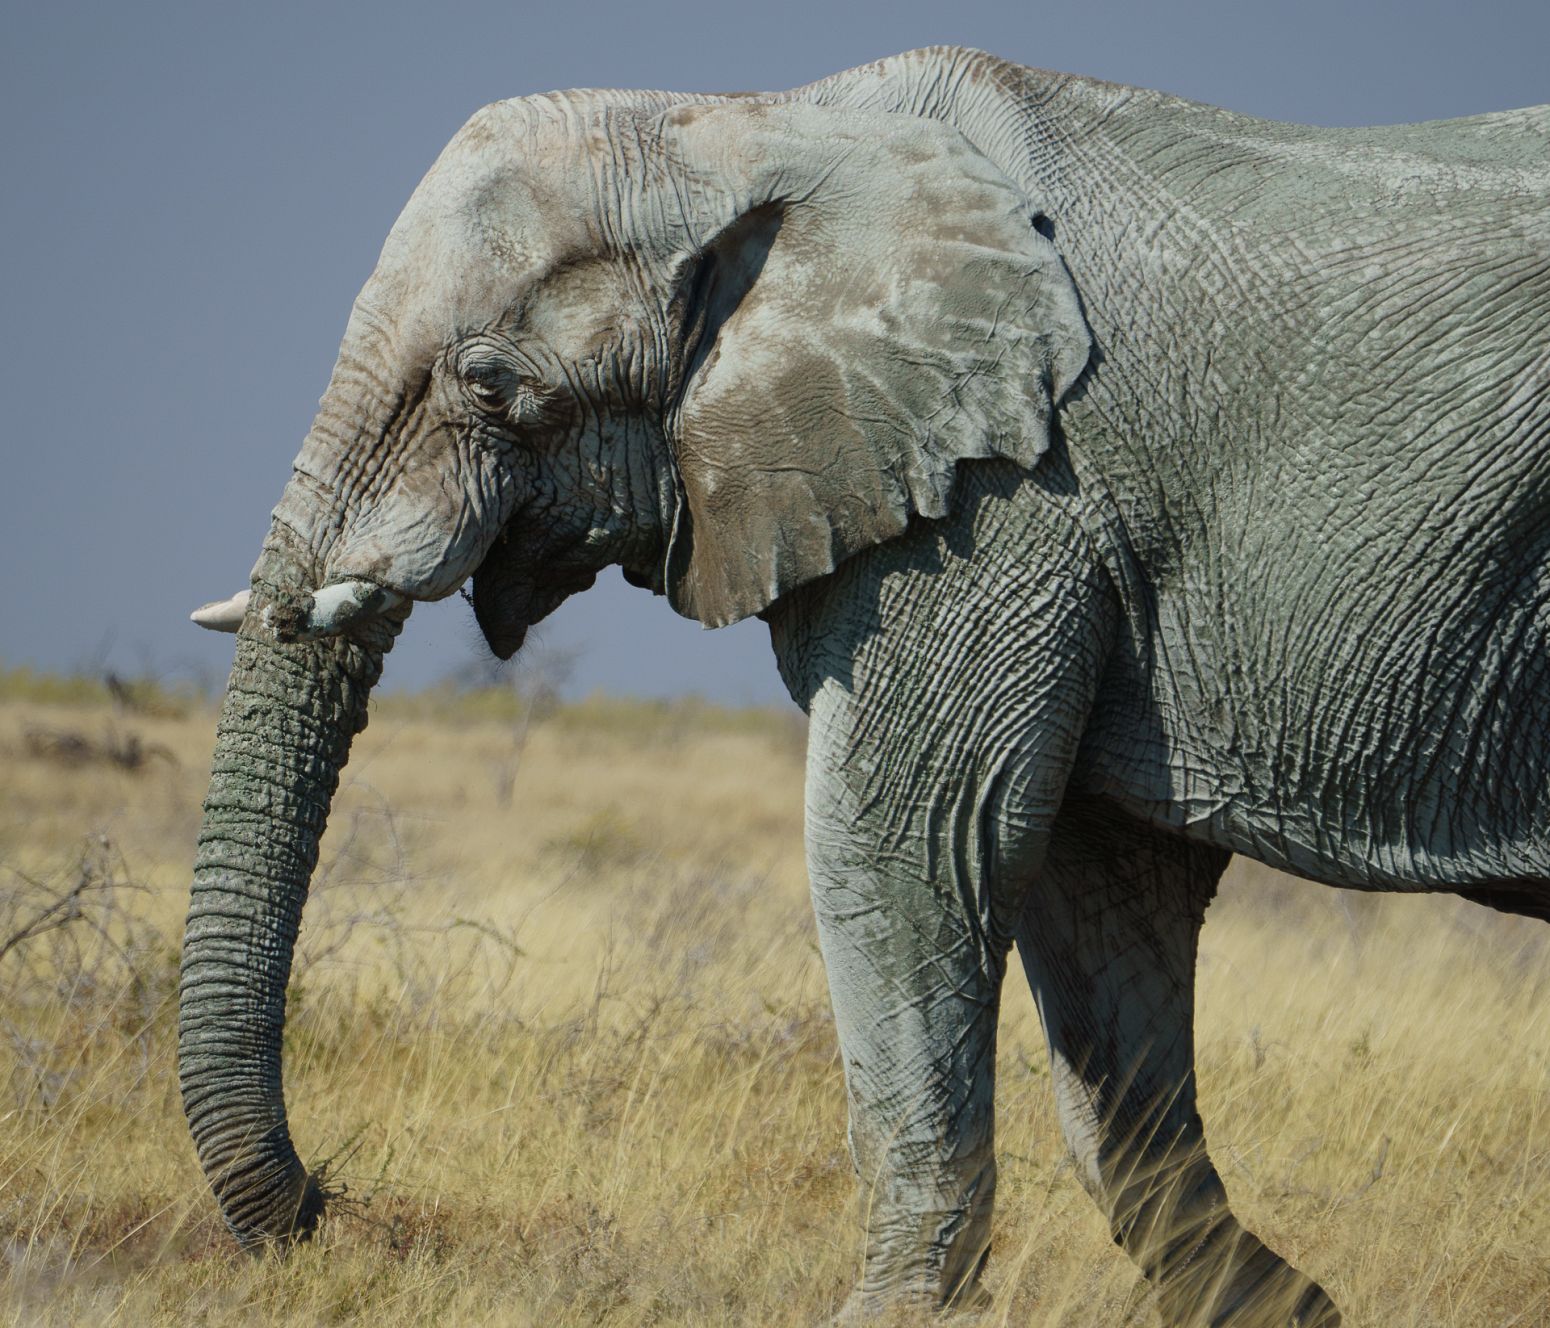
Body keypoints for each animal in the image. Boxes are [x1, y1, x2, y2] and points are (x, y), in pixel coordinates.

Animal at [184, 46, 1550, 1320]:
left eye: (488, 381)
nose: (323, 1203)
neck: (748, 124)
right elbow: (1098, 899)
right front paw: (1289, 1309)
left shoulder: (1001, 495)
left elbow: (905, 844)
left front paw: (881, 1316)